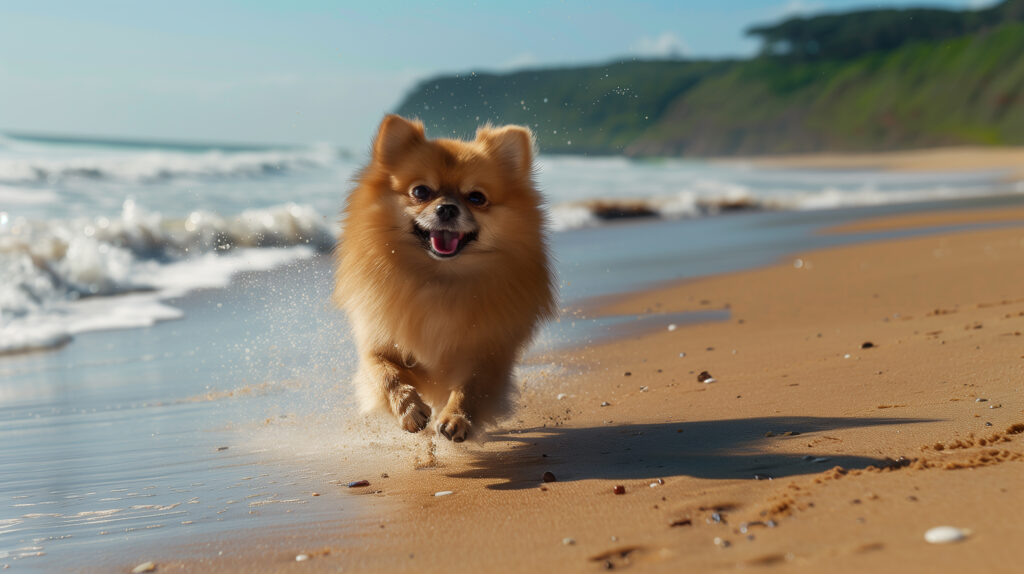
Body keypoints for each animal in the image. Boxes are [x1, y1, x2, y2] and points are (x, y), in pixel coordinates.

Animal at [333, 114, 561, 439]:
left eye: (476, 197)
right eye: (421, 192)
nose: (447, 208)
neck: (438, 278)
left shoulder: (487, 353)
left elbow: (472, 386)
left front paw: (456, 418)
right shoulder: (378, 342)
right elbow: (385, 374)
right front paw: (409, 409)